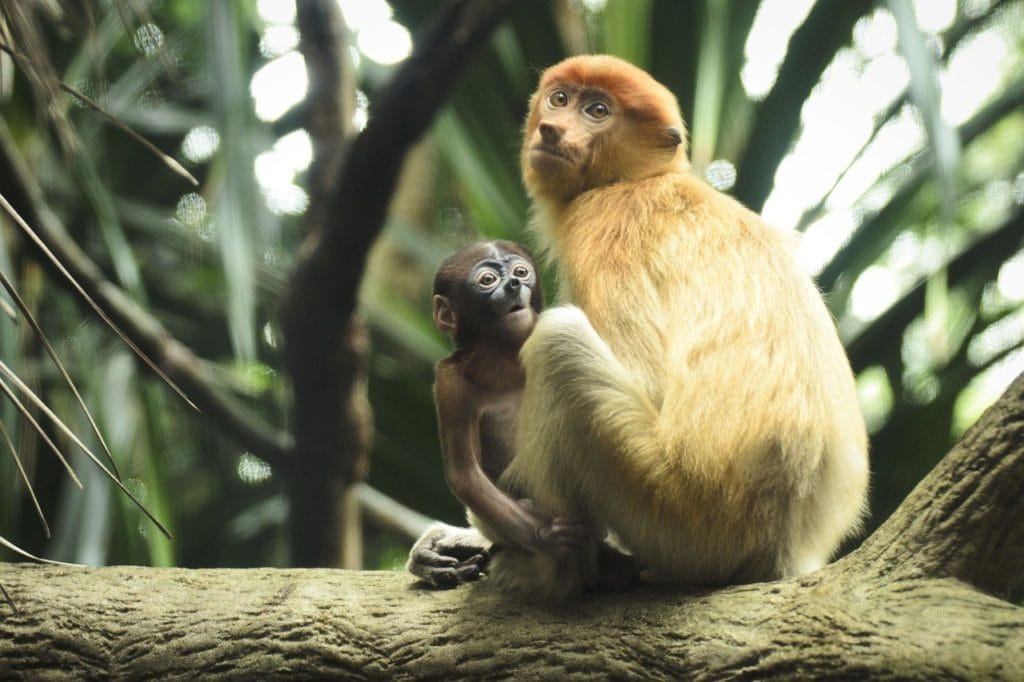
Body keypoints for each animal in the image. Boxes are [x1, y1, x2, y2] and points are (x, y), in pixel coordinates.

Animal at [406, 240, 593, 589]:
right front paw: (546, 537)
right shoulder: (448, 380)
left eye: (521, 271)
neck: (503, 359)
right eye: (487, 280)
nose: (514, 284)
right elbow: (464, 472)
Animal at [482, 54, 869, 598]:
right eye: (559, 99)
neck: (631, 180)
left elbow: (648, 382)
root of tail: (783, 543)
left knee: (558, 344)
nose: (551, 130)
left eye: (597, 111)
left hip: (679, 513)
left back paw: (553, 576)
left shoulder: (602, 230)